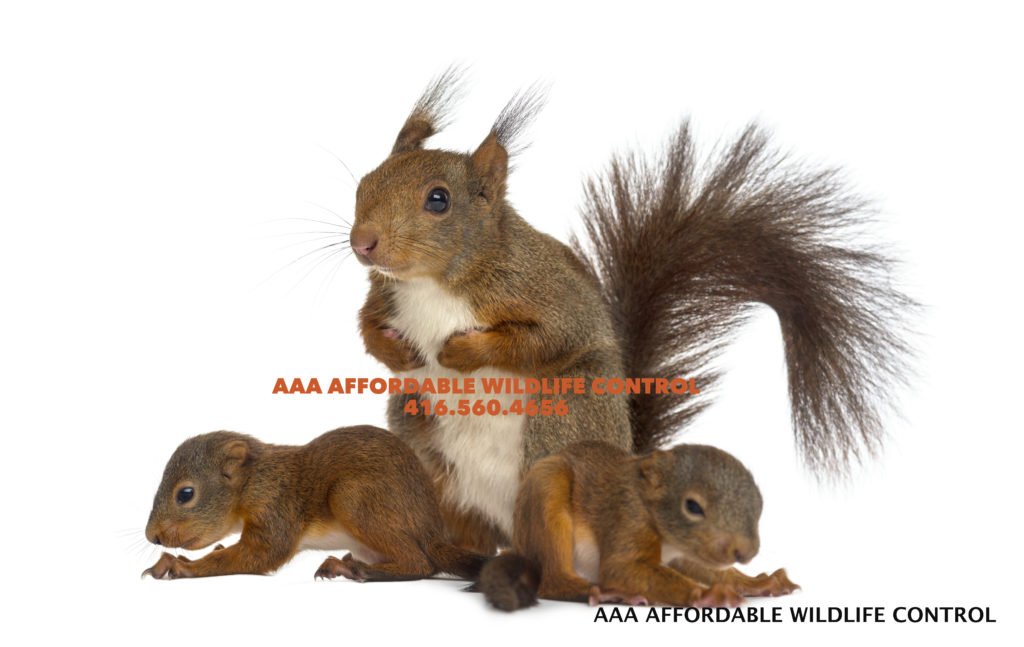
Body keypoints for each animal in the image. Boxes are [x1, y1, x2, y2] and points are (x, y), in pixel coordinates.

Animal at [142, 425, 487, 581]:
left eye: (185, 494)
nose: (152, 536)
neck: (255, 480)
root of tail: (432, 529)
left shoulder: (275, 507)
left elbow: (260, 555)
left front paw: (181, 566)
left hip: (352, 498)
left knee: (421, 564)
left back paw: (357, 569)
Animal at [349, 67, 912, 552]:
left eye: (438, 200)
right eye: (365, 181)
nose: (362, 243)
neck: (431, 283)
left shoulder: (549, 295)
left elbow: (545, 339)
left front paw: (461, 352)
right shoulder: (385, 294)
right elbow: (366, 324)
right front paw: (395, 354)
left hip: (565, 416)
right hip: (420, 437)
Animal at [474, 441, 798, 611]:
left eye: (759, 504)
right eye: (692, 506)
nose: (745, 552)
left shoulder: (689, 553)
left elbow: (710, 570)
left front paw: (756, 583)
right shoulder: (627, 516)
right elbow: (621, 568)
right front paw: (705, 595)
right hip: (546, 490)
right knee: (552, 580)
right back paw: (604, 592)